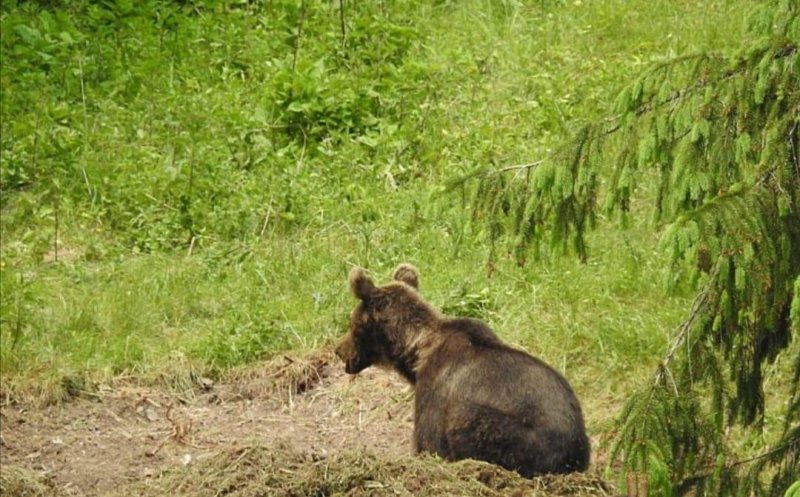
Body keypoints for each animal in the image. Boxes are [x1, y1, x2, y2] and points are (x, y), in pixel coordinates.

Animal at [334, 264, 592, 476]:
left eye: (352, 323)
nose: (339, 350)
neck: (415, 353)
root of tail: (575, 449)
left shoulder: (434, 397)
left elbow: (427, 443)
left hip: (518, 434)